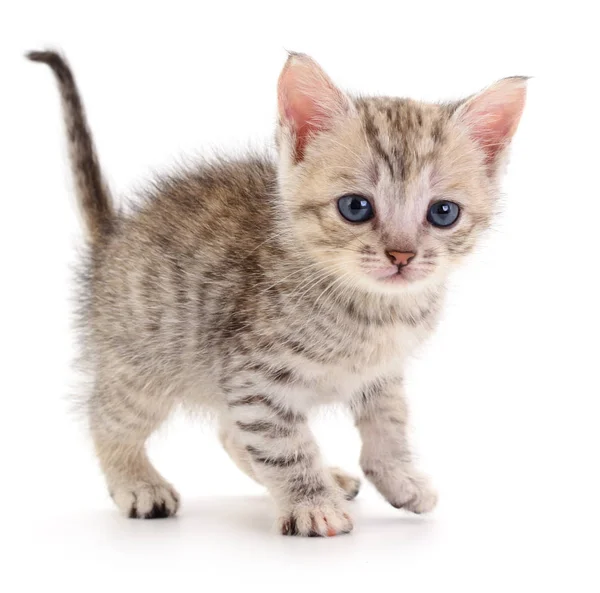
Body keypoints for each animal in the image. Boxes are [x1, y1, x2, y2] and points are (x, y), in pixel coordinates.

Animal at [27, 48, 524, 536]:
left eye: (443, 213)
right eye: (355, 207)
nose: (401, 255)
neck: (374, 310)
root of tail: (115, 237)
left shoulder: (381, 375)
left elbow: (389, 426)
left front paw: (399, 478)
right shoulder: (256, 377)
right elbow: (285, 446)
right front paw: (311, 504)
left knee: (230, 434)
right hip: (143, 362)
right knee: (107, 416)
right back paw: (137, 482)